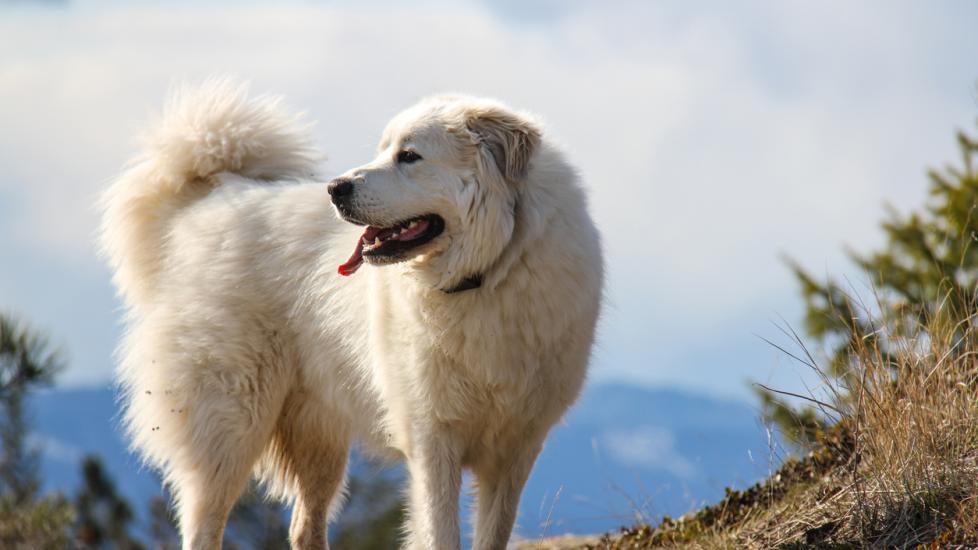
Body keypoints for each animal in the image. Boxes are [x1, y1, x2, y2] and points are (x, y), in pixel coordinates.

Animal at [99, 81, 604, 550]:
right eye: (383, 150)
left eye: (409, 156)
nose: (335, 189)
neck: (487, 273)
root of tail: (213, 197)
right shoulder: (432, 441)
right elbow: (440, 532)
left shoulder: (515, 450)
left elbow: (491, 534)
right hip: (230, 424)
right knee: (206, 523)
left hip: (318, 439)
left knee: (304, 527)